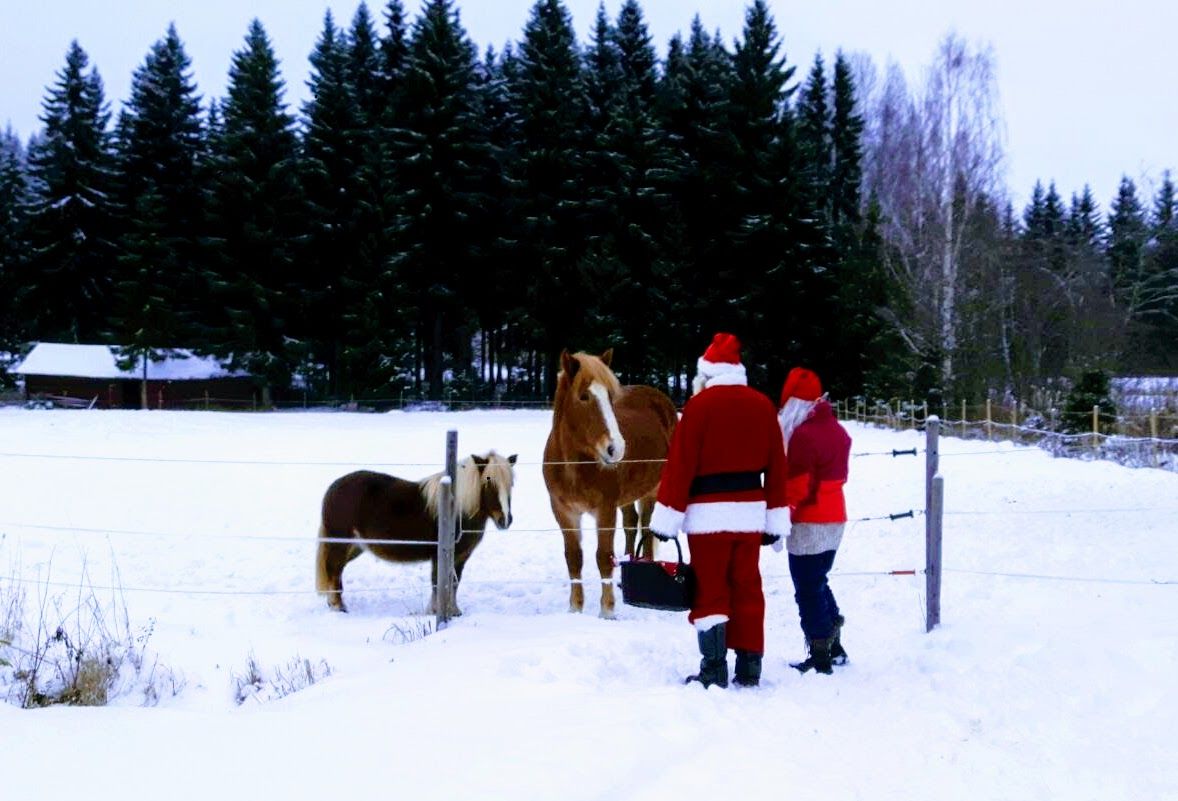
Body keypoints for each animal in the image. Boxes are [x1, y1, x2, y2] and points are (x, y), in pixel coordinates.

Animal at [313, 449, 515, 612]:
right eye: (488, 480)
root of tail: (333, 488)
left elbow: (453, 583)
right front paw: (436, 611)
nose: (505, 520)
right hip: (340, 544)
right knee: (334, 570)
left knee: (336, 571)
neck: (456, 508)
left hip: (356, 547)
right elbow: (439, 582)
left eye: (511, 483)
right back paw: (338, 607)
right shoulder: (441, 555)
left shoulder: (460, 556)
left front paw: (454, 611)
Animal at [539, 351, 673, 617]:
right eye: (583, 396)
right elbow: (574, 557)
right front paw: (575, 608)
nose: (616, 449)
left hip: (652, 490)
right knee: (632, 525)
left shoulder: (605, 510)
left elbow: (603, 557)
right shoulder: (564, 512)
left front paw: (607, 611)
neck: (573, 466)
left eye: (610, 397)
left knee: (646, 528)